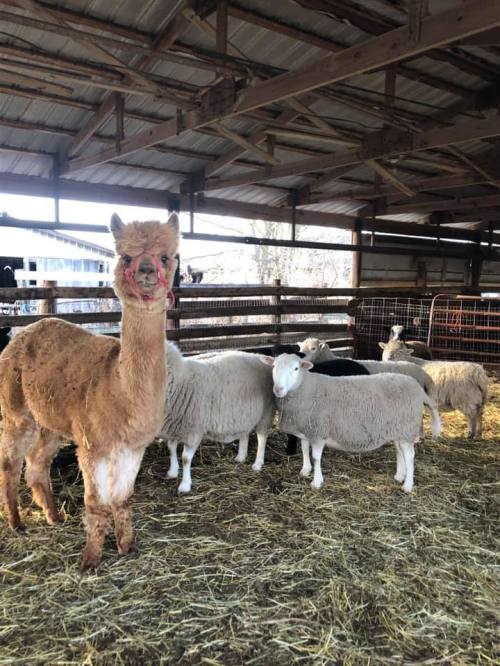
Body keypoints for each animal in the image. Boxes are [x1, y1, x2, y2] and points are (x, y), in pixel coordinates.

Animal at [160, 343, 274, 493]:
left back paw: (258, 463)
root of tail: (262, 357)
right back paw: (241, 457)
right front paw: (172, 471)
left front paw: (185, 485)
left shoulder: (194, 429)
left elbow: (185, 458)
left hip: (266, 411)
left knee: (262, 437)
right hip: (243, 414)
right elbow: (171, 448)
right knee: (244, 434)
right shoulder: (175, 425)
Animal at [261, 354, 441, 492]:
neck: (305, 387)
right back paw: (399, 476)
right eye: (274, 366)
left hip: (407, 427)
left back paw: (408, 485)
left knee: (410, 455)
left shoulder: (319, 431)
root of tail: (419, 389)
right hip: (398, 429)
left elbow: (316, 457)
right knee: (400, 451)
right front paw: (305, 470)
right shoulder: (306, 427)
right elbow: (305, 449)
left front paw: (317, 481)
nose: (278, 390)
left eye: (296, 369)